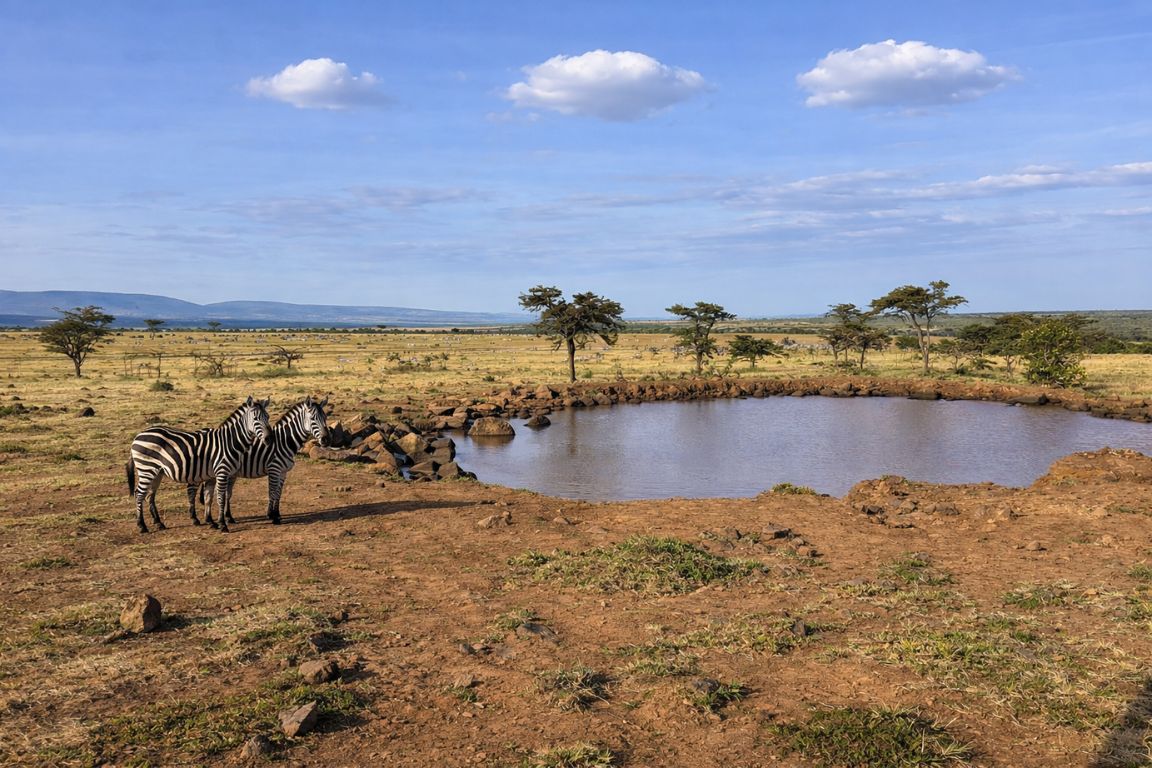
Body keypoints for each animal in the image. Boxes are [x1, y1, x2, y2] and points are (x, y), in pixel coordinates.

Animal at [127, 396, 271, 534]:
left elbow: (208, 498)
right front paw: (222, 524)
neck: (230, 442)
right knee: (139, 494)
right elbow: (221, 498)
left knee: (149, 495)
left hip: (157, 472)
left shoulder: (213, 476)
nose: (269, 438)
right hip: (146, 469)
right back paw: (142, 526)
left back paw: (159, 523)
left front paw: (212, 522)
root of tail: (138, 436)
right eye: (255, 418)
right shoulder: (222, 472)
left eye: (268, 417)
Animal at [194, 396, 330, 528]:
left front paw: (277, 514)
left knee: (212, 493)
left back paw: (217, 519)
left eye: (325, 418)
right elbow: (272, 492)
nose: (326, 439)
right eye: (312, 419)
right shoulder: (274, 469)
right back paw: (198, 519)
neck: (284, 441)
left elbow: (278, 493)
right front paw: (273, 516)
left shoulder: (283, 472)